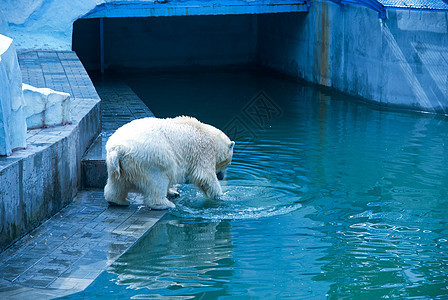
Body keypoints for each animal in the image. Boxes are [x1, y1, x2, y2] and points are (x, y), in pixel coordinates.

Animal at [104, 116, 234, 210]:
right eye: (226, 163)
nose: (221, 176)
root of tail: (118, 149)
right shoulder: (203, 150)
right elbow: (205, 176)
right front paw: (220, 195)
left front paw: (173, 192)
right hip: (151, 161)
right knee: (158, 182)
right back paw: (165, 204)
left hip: (118, 165)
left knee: (116, 183)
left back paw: (118, 201)